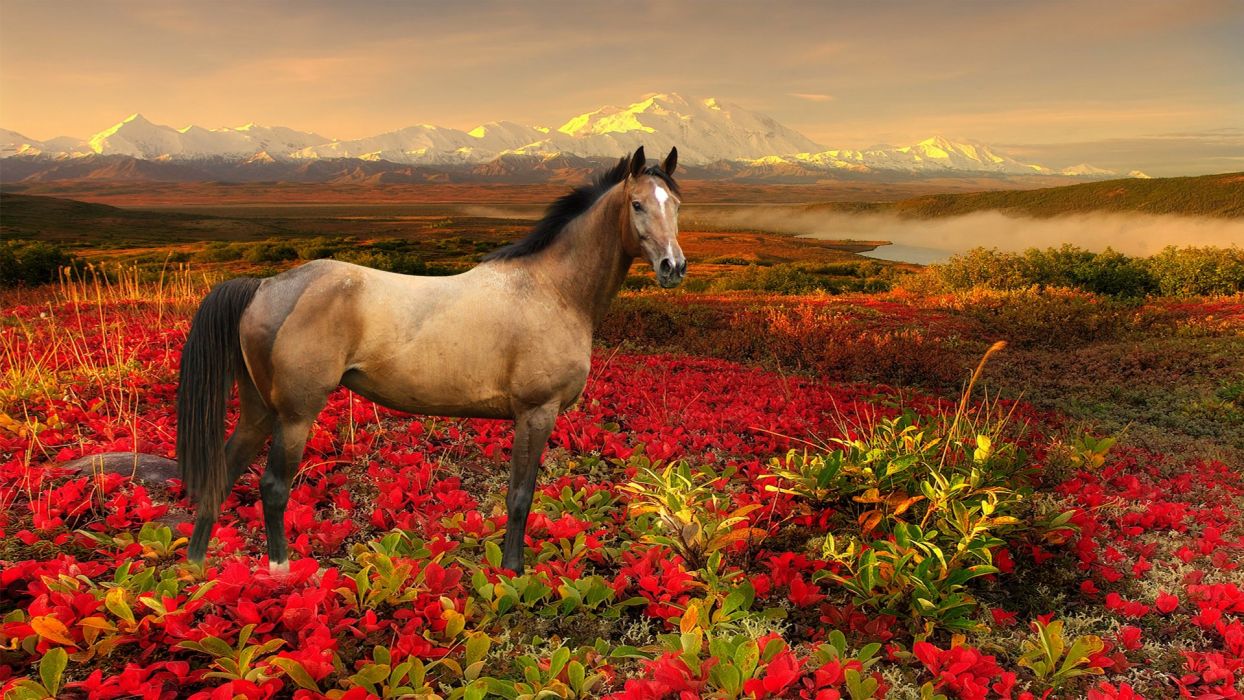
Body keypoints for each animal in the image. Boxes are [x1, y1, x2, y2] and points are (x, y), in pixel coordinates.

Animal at [177, 146, 683, 575]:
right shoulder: (536, 413)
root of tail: (264, 286)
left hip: (260, 410)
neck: (551, 289)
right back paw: (281, 572)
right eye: (637, 204)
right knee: (273, 487)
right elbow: (521, 496)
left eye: (676, 204)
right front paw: (513, 573)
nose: (673, 268)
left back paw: (195, 569)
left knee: (223, 472)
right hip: (295, 415)